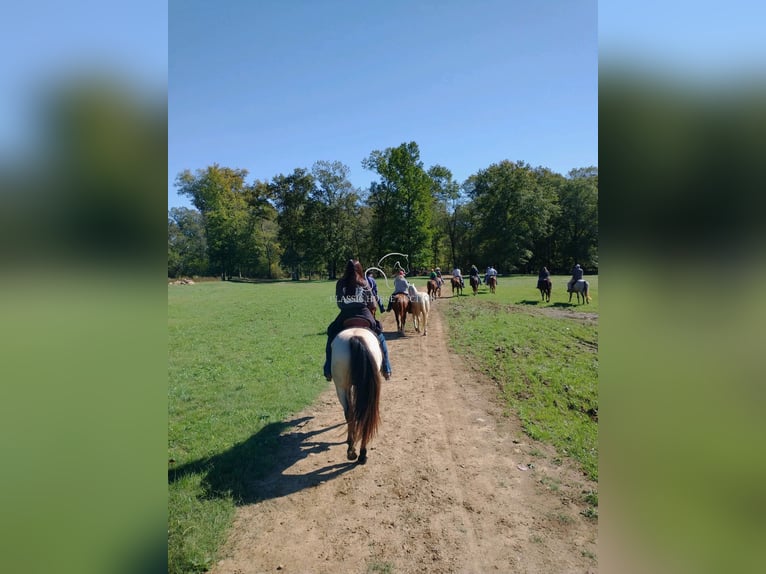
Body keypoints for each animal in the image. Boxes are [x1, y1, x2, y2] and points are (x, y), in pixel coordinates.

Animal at [332, 326, 384, 466]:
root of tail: (355, 337)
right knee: (363, 414)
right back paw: (361, 453)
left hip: (342, 387)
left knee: (350, 413)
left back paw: (353, 450)